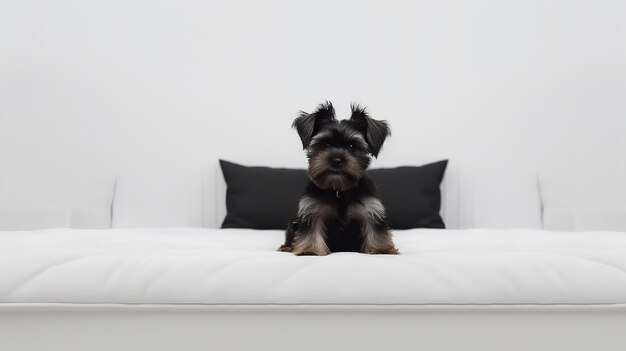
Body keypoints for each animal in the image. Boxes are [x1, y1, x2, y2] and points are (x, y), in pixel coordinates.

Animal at [276, 102, 394, 256]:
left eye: (352, 146)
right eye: (324, 144)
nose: (336, 160)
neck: (338, 190)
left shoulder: (371, 210)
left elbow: (376, 232)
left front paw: (382, 249)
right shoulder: (312, 210)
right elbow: (310, 231)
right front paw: (309, 250)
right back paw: (286, 247)